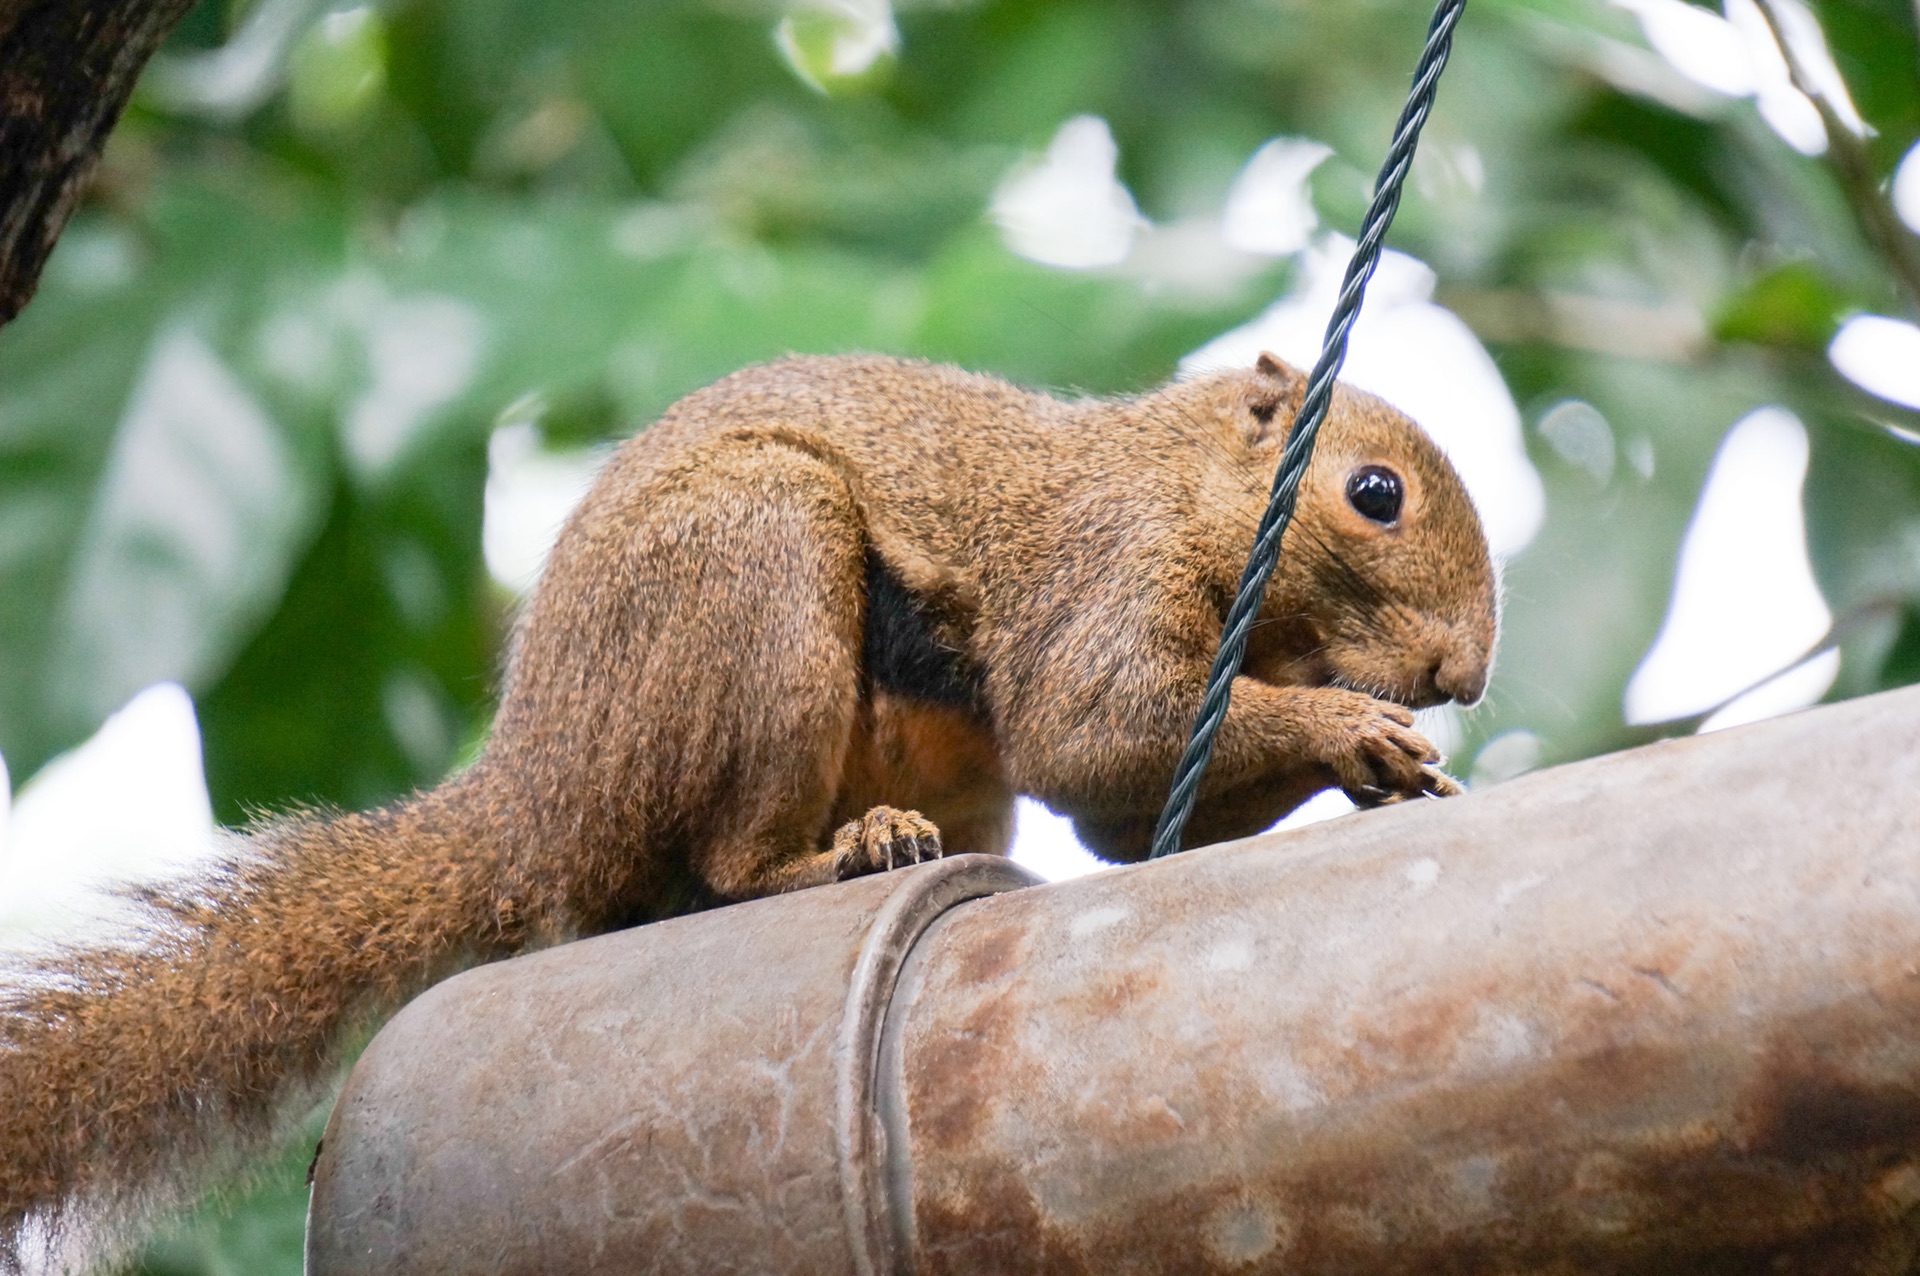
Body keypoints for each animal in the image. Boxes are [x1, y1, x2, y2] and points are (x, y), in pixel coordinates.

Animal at [0, 349, 1497, 1266]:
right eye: (1374, 492)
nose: (1462, 673)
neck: (1184, 483)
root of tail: (539, 788)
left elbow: (1127, 835)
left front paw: (1390, 763)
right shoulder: (1100, 573)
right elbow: (1096, 737)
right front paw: (1354, 728)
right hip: (756, 555)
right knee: (723, 861)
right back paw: (839, 853)